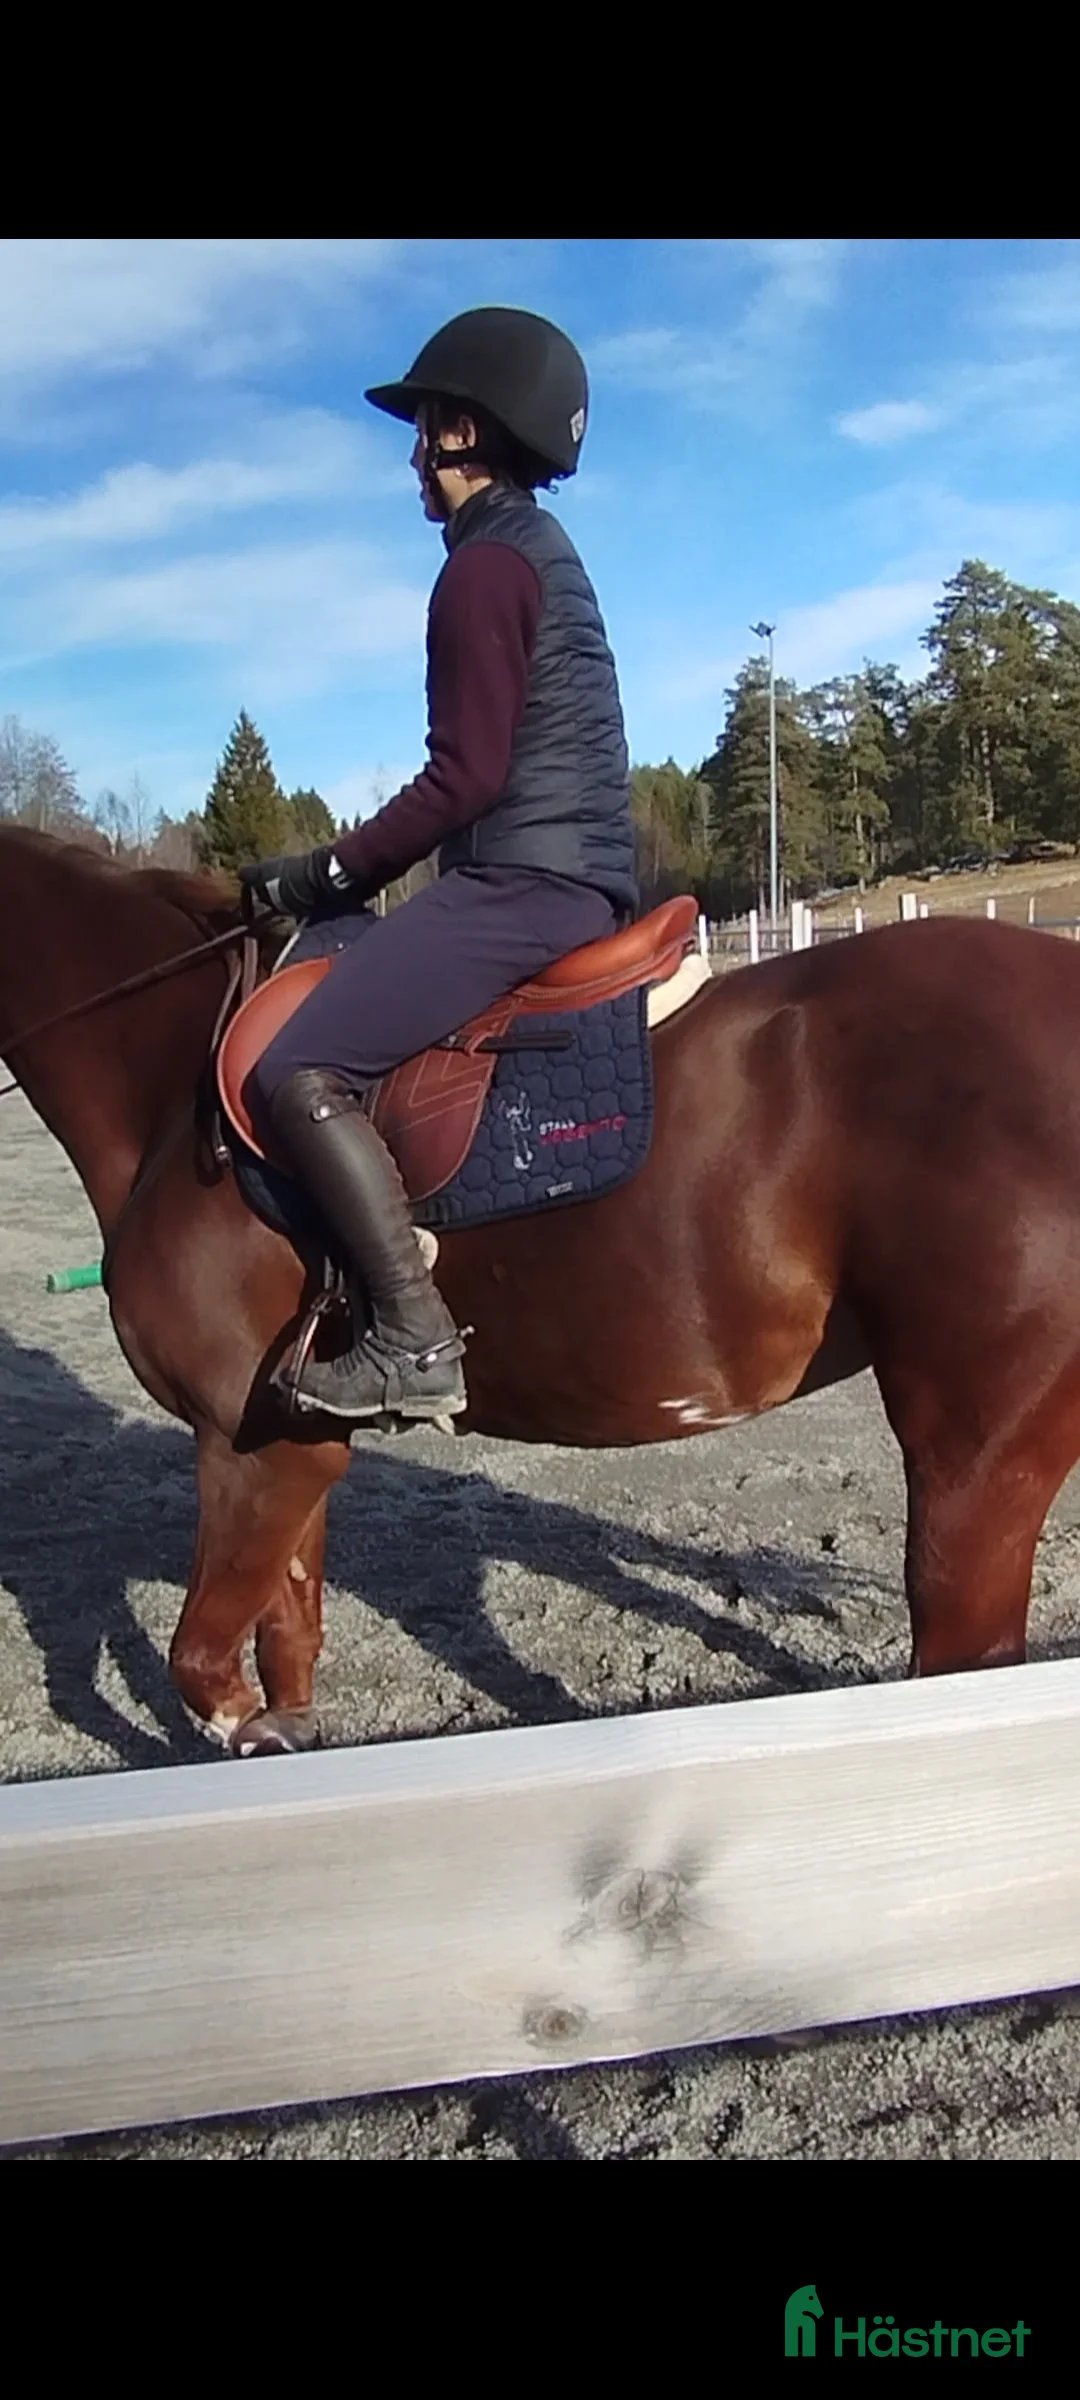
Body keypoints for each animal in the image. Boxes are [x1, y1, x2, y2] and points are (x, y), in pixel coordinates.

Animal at [5, 821, 1080, 1761]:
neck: (168, 1086)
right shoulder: (295, 1453)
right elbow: (288, 1655)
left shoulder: (249, 1450)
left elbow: (205, 1670)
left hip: (976, 1463)